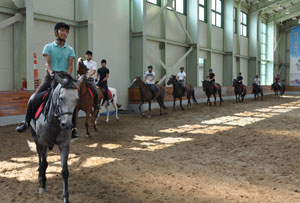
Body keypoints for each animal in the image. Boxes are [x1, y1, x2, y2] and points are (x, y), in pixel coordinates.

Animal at [29, 73, 81, 203]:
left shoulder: (64, 145)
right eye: (61, 98)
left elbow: (65, 172)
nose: (67, 124)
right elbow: (43, 163)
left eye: (77, 99)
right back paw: (40, 176)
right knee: (39, 156)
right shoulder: (43, 143)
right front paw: (42, 185)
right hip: (35, 137)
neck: (54, 121)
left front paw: (66, 198)